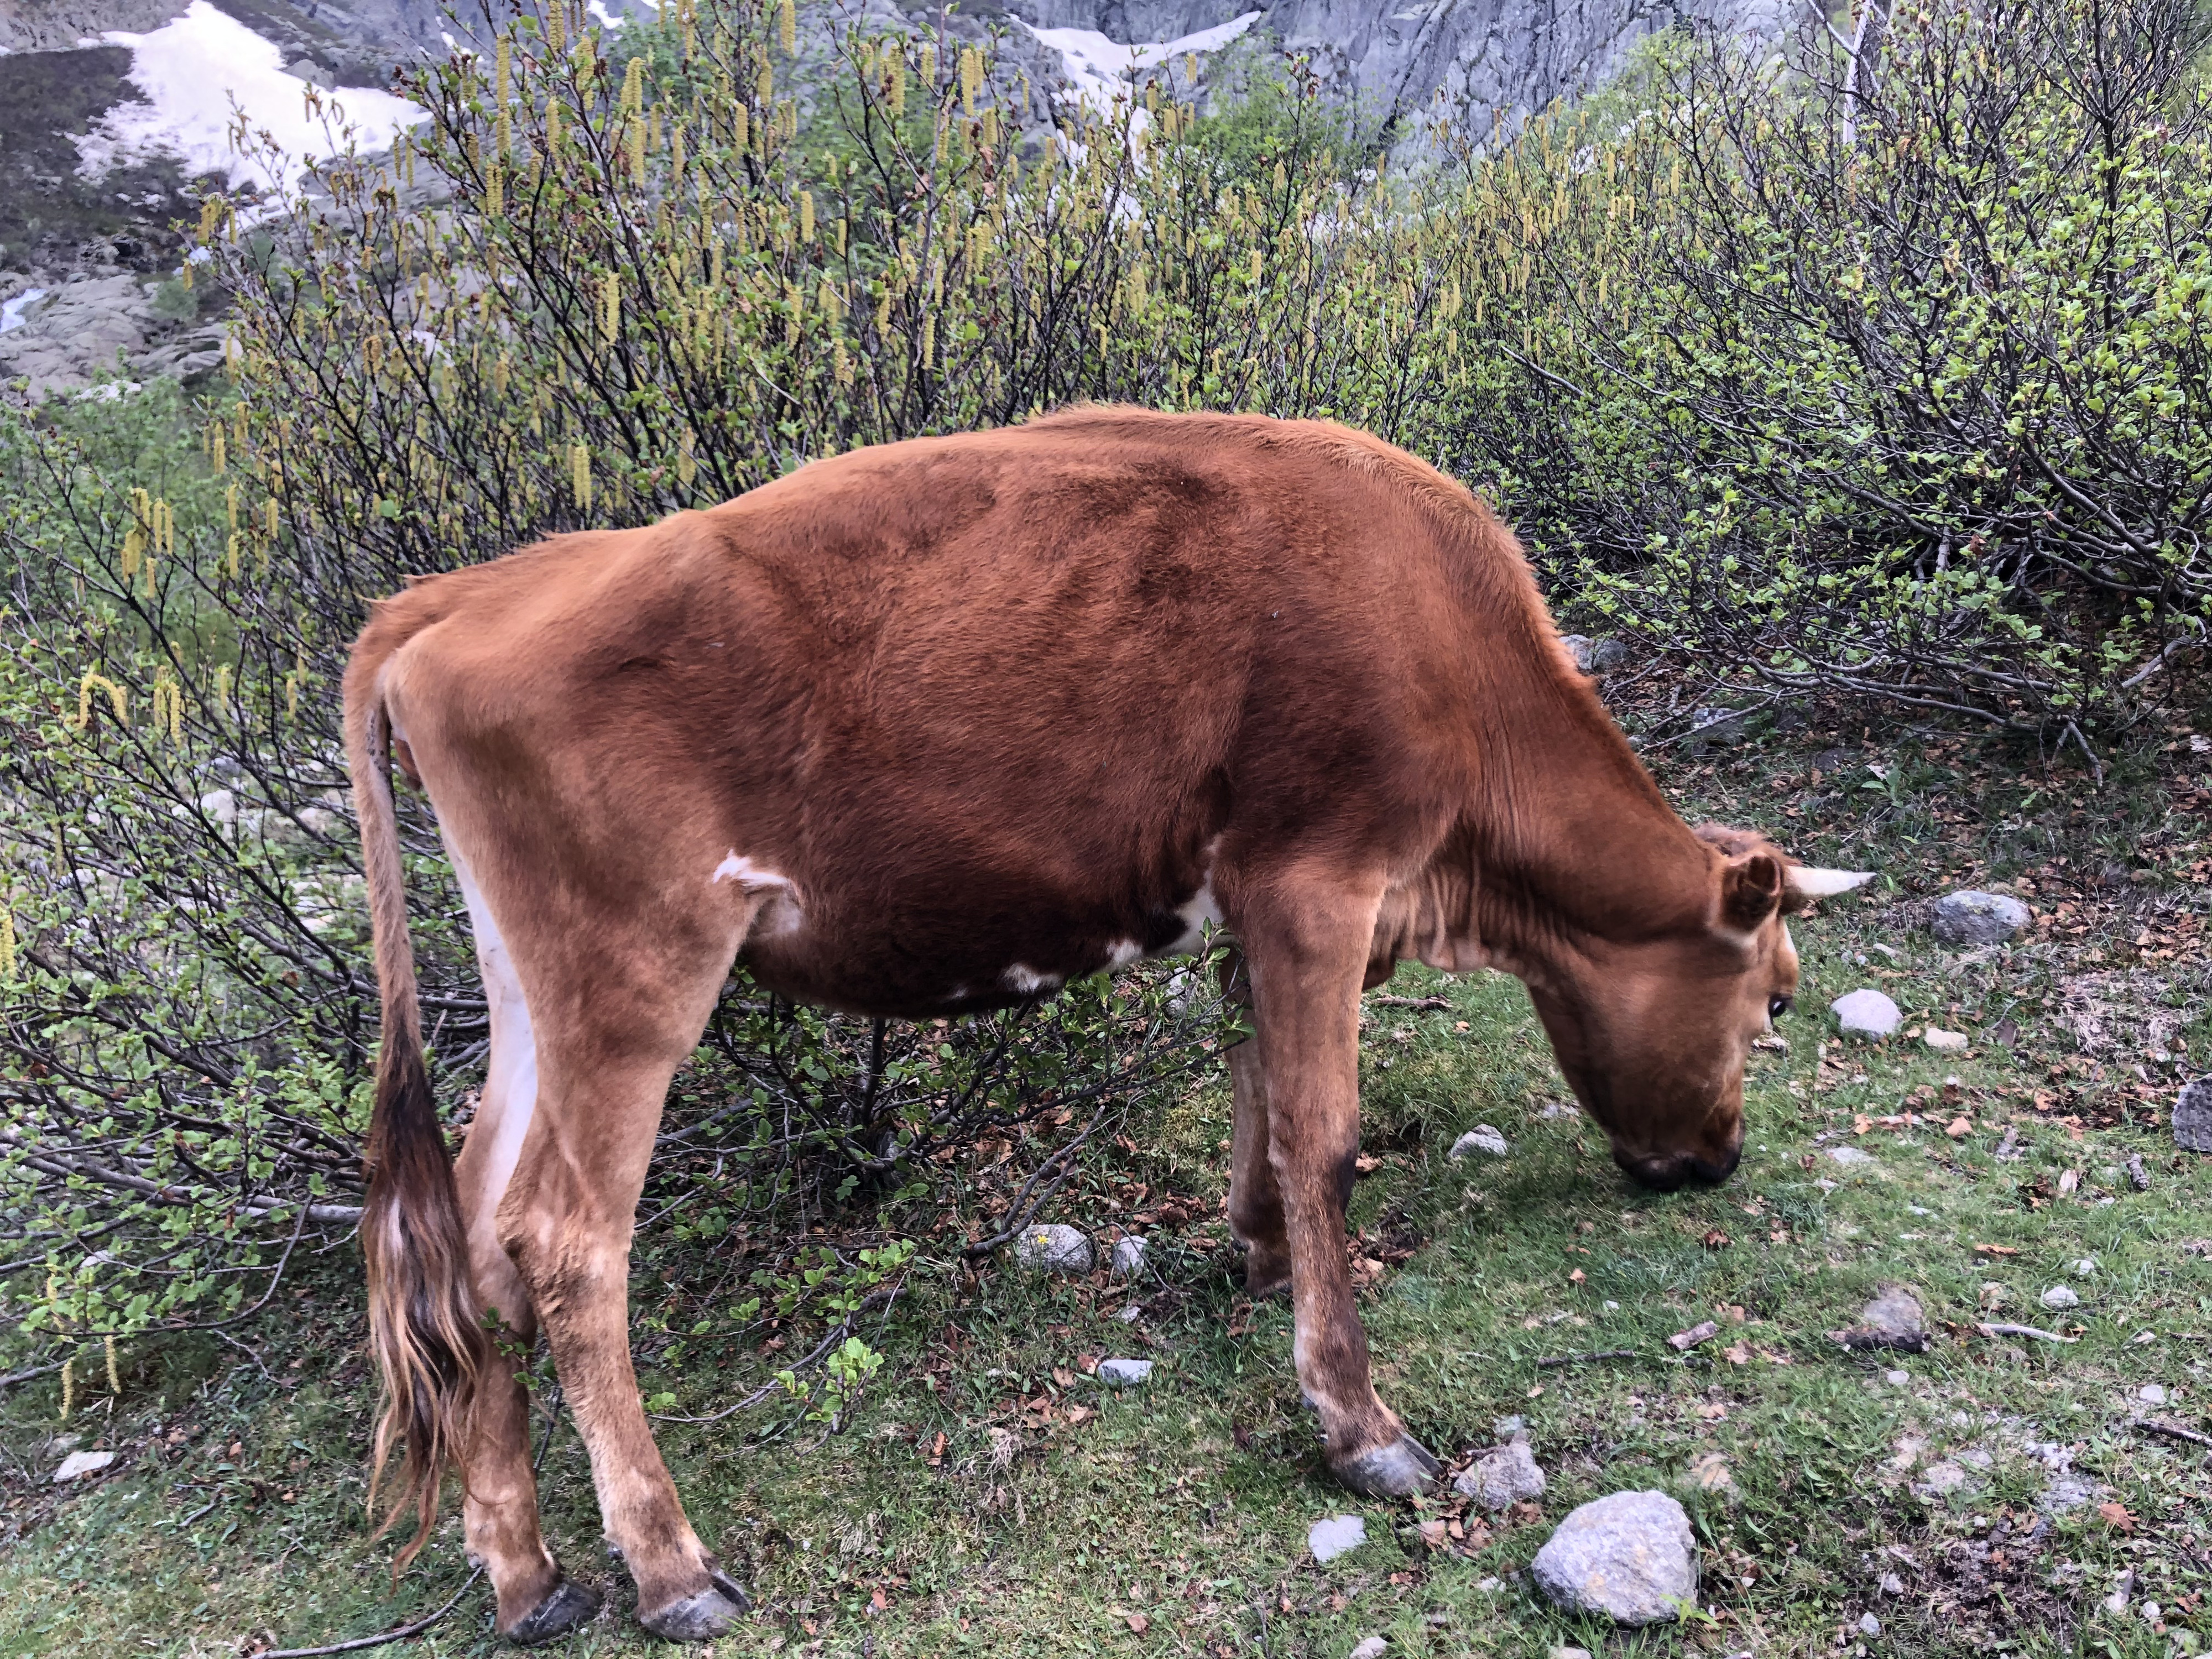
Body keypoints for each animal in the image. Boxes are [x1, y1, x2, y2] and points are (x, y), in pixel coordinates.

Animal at [345, 409, 1867, 1646]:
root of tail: (463, 592)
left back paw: (527, 1570)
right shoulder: (1320, 874)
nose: (1717, 1161)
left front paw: (1257, 1252)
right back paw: (668, 1570)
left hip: (531, 987)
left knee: (465, 1236)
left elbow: (1259, 1088)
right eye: (1774, 1001)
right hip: (633, 974)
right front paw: (1357, 1422)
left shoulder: (1257, 903)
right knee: (562, 1243)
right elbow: (1326, 1135)